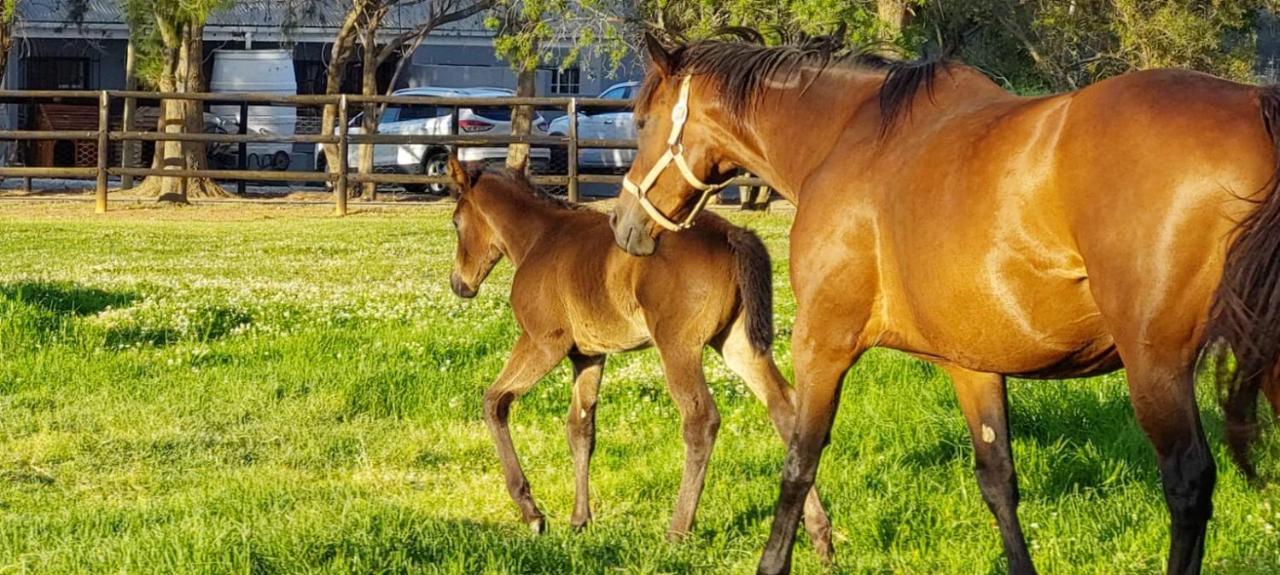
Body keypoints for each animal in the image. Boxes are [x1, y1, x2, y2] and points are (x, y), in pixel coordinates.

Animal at [445, 156, 834, 550]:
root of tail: (731, 234)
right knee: (784, 407)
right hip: (737, 343)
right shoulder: (588, 355)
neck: (539, 238)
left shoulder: (543, 341)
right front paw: (579, 520)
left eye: (456, 222)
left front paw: (532, 513)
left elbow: (495, 402)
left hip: (678, 347)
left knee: (701, 420)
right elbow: (580, 429)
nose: (459, 284)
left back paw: (677, 531)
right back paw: (820, 534)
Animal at [606, 34, 1280, 573]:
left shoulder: (823, 343)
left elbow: (799, 463)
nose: (622, 223)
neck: (847, 139)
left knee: (1188, 483)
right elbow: (999, 481)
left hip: (1156, 367)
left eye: (640, 120)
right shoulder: (972, 364)